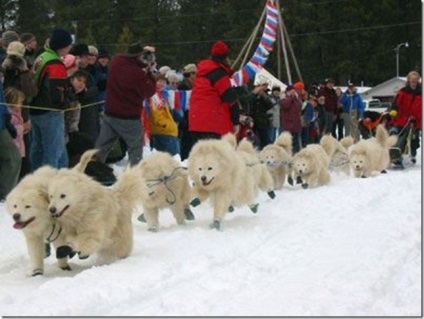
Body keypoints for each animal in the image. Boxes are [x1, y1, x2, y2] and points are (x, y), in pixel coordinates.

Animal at [4, 150, 97, 278]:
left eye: (28, 206)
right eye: (15, 206)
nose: (16, 216)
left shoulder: (60, 233)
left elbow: (62, 249)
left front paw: (64, 267)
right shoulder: (34, 236)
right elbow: (36, 253)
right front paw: (37, 272)